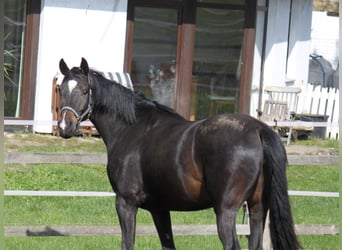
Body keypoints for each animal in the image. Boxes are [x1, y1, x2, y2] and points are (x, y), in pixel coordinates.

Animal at [56, 58, 300, 250]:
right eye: (61, 90)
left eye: (85, 90)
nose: (65, 126)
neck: (132, 128)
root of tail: (257, 130)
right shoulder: (160, 209)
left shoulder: (125, 203)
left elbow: (128, 244)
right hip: (258, 209)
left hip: (226, 211)